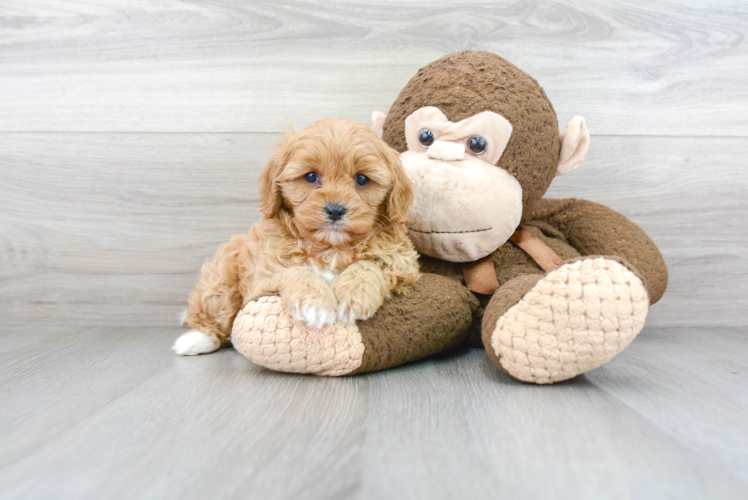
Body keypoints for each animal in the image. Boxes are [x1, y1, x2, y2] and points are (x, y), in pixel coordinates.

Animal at [174, 118, 420, 356]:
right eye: (310, 176)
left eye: (362, 179)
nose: (335, 210)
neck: (329, 246)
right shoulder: (262, 275)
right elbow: (295, 270)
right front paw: (316, 303)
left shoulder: (402, 261)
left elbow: (369, 264)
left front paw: (353, 294)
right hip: (222, 277)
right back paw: (196, 339)